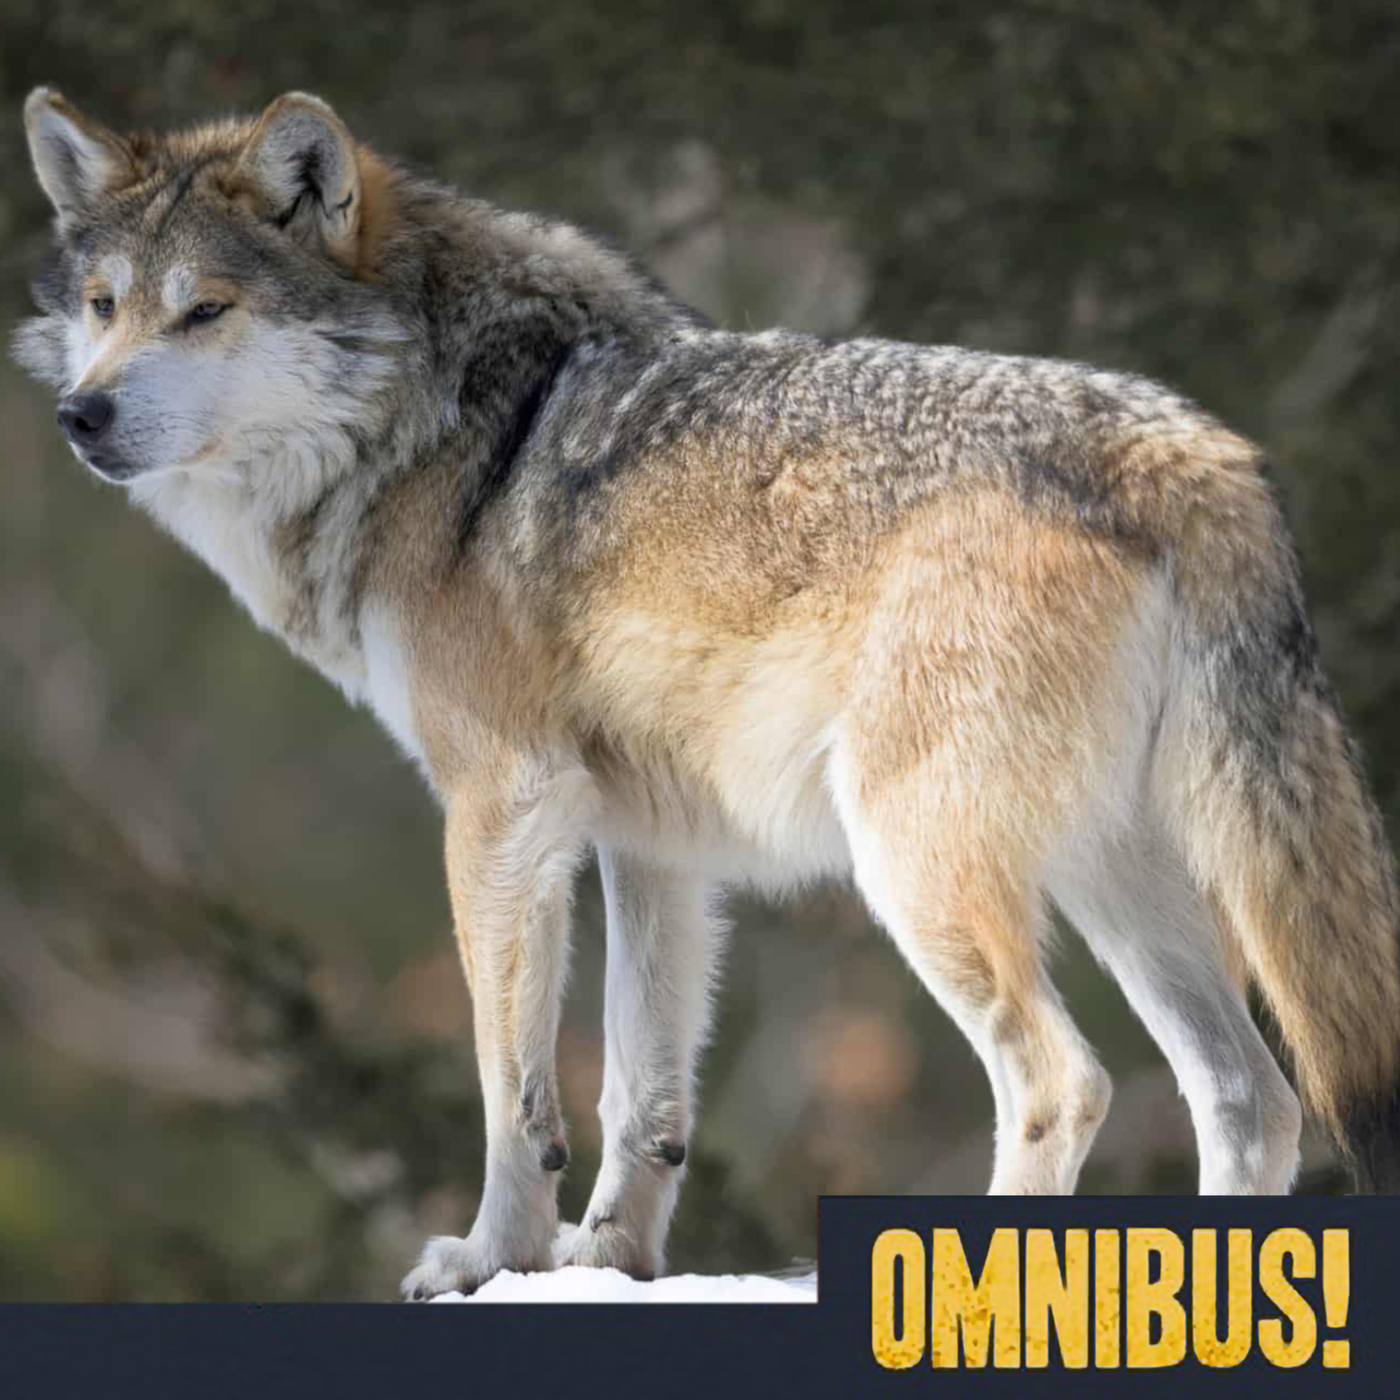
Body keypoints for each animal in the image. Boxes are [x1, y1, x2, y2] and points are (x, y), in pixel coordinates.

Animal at [15, 87, 1400, 1295]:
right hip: (1117, 882)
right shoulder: (653, 844)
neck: (444, 425)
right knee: (1250, 1096)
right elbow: (641, 1095)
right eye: (103, 305)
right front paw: (608, 1258)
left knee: (1063, 1082)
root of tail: (1190, 452)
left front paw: (489, 1257)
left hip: (922, 867)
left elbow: (511, 1087)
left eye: (205, 310)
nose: (82, 414)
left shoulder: (500, 809)